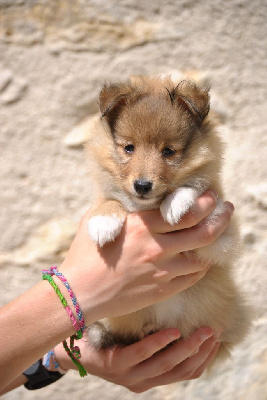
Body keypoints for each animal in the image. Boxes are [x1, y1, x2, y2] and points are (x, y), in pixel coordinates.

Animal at [86, 75, 251, 366]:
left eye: (168, 152)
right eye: (129, 148)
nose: (142, 186)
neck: (147, 207)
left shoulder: (223, 237)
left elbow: (196, 191)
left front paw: (177, 202)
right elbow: (110, 200)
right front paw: (103, 222)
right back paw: (104, 333)